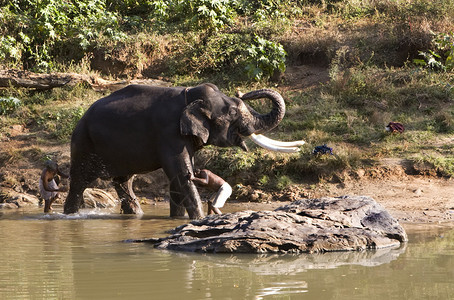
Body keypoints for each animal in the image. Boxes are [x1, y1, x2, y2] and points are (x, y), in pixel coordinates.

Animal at [63, 83, 284, 219]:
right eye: (232, 112)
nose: (242, 92)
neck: (190, 94)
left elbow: (179, 176)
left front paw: (178, 218)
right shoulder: (169, 132)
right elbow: (179, 173)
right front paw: (198, 219)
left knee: (124, 182)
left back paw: (135, 214)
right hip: (83, 144)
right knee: (79, 182)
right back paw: (70, 215)